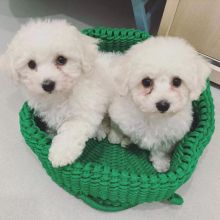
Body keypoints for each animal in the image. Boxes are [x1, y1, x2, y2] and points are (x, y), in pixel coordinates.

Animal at [0, 19, 113, 167]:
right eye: (31, 64)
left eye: (61, 60)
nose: (48, 84)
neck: (59, 97)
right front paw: (52, 135)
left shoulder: (84, 112)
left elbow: (72, 131)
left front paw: (61, 153)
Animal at [109, 37, 211, 173]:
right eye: (146, 82)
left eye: (177, 81)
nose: (163, 105)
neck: (153, 117)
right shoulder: (119, 114)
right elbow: (117, 127)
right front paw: (115, 137)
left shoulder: (169, 136)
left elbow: (161, 150)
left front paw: (161, 163)